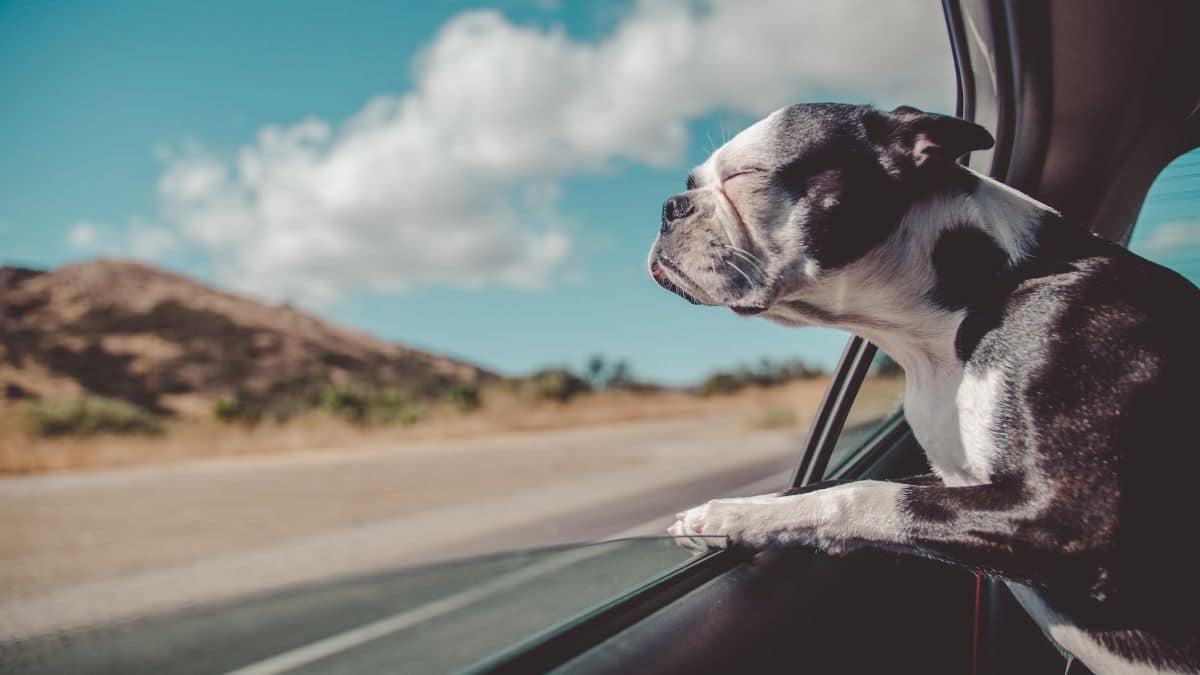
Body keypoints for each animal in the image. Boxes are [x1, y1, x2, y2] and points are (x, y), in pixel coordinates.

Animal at [652, 102, 1200, 667]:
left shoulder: (1066, 518)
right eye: (691, 184)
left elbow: (862, 495)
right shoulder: (955, 481)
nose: (670, 207)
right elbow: (815, 486)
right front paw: (731, 513)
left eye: (745, 175)